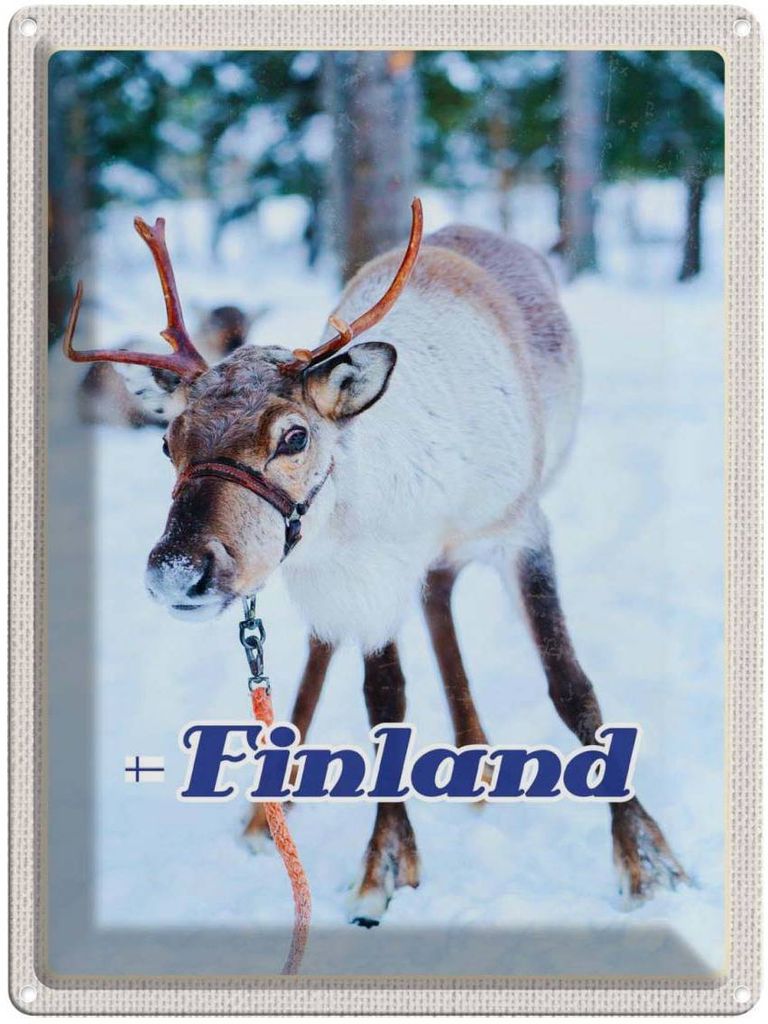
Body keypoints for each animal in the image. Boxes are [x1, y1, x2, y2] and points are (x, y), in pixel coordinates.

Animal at [62, 201, 688, 927]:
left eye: (294, 436)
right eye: (169, 442)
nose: (177, 569)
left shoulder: (522, 529)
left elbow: (571, 687)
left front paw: (648, 861)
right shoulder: (361, 580)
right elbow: (383, 702)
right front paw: (385, 866)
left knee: (438, 592)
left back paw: (476, 760)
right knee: (338, 643)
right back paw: (271, 811)